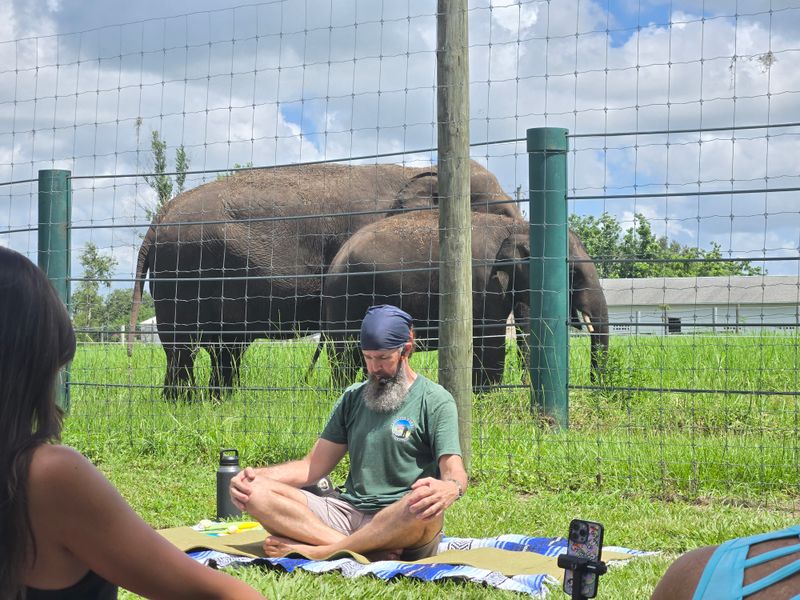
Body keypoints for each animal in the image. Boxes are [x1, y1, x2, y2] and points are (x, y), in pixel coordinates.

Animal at [127, 161, 521, 399]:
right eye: (502, 213)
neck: (421, 169)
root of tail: (159, 218)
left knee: (225, 348)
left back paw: (217, 401)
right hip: (181, 272)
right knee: (184, 346)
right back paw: (183, 403)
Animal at [316, 211, 609, 389]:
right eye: (574, 273)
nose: (597, 385)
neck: (519, 227)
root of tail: (337, 258)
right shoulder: (484, 280)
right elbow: (490, 338)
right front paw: (487, 396)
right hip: (346, 296)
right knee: (345, 354)